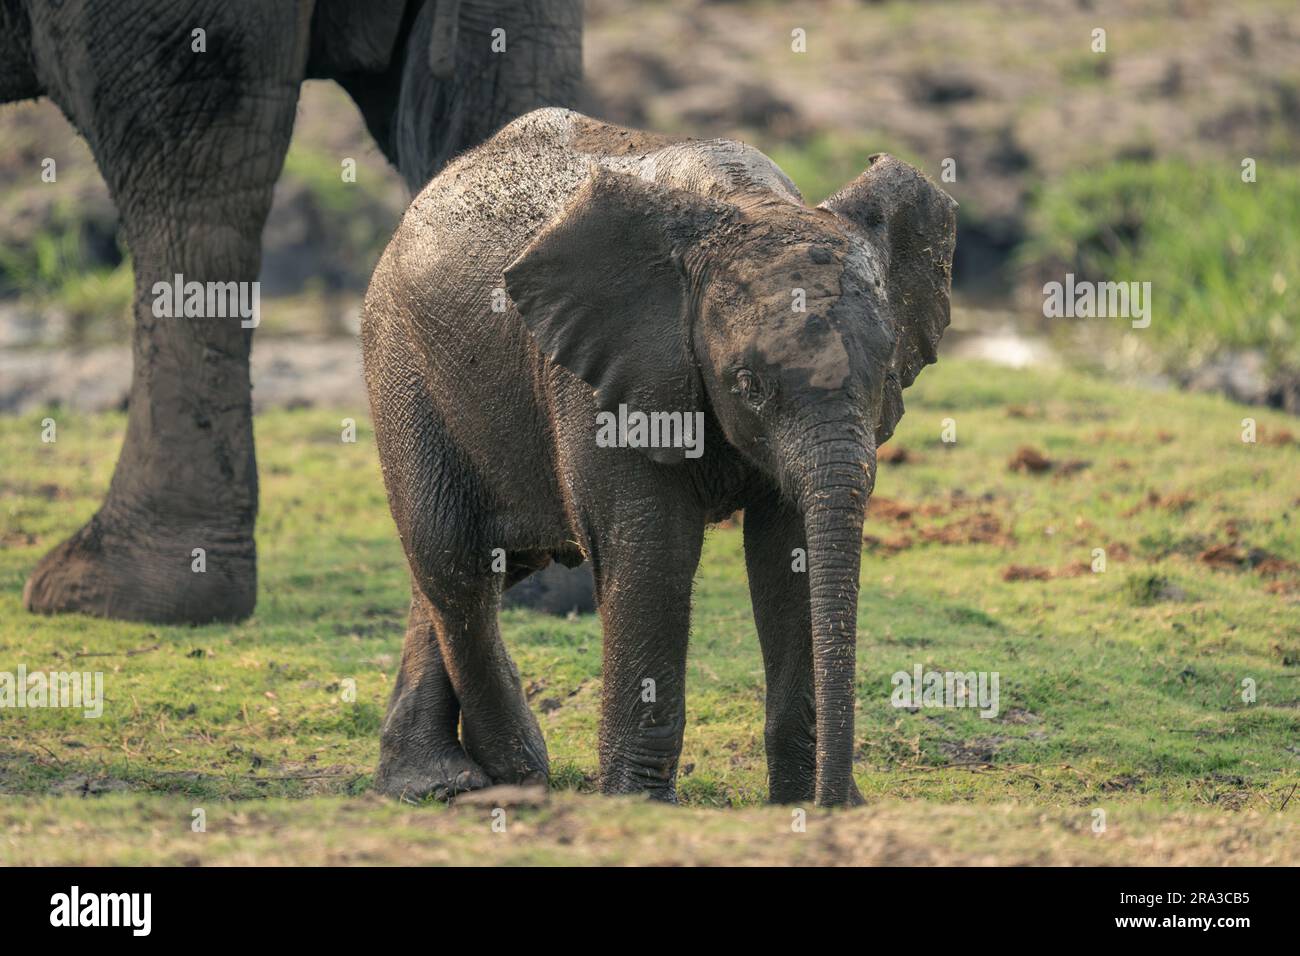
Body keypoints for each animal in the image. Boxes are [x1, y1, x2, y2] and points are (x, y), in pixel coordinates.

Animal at [361, 107, 956, 806]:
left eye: (888, 373)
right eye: (749, 384)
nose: (837, 803)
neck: (746, 202)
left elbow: (790, 555)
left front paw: (798, 801)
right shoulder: (602, 374)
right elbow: (653, 552)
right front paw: (639, 802)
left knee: (468, 568)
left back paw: (433, 782)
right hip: (402, 366)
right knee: (456, 562)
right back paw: (510, 775)